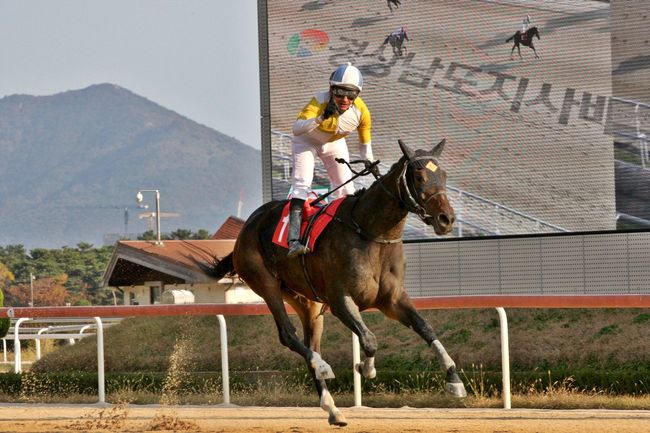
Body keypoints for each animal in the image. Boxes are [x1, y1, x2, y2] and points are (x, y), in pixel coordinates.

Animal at [210, 138, 464, 426]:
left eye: (443, 175)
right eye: (419, 176)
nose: (447, 219)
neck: (372, 233)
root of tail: (246, 228)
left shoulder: (392, 300)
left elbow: (425, 327)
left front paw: (454, 379)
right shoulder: (340, 300)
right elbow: (369, 339)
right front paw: (366, 367)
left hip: (306, 301)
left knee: (311, 343)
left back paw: (332, 408)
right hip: (266, 283)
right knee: (289, 335)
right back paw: (322, 366)